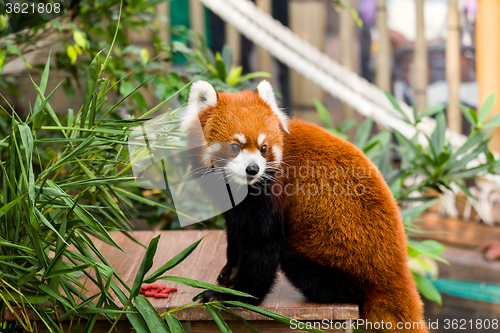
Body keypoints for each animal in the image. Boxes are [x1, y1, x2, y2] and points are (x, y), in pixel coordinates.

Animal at [182, 79, 428, 330]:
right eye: (235, 147)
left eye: (263, 148)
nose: (253, 169)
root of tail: (398, 270)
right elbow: (236, 234)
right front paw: (228, 273)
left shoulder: (272, 192)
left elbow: (263, 245)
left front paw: (238, 296)